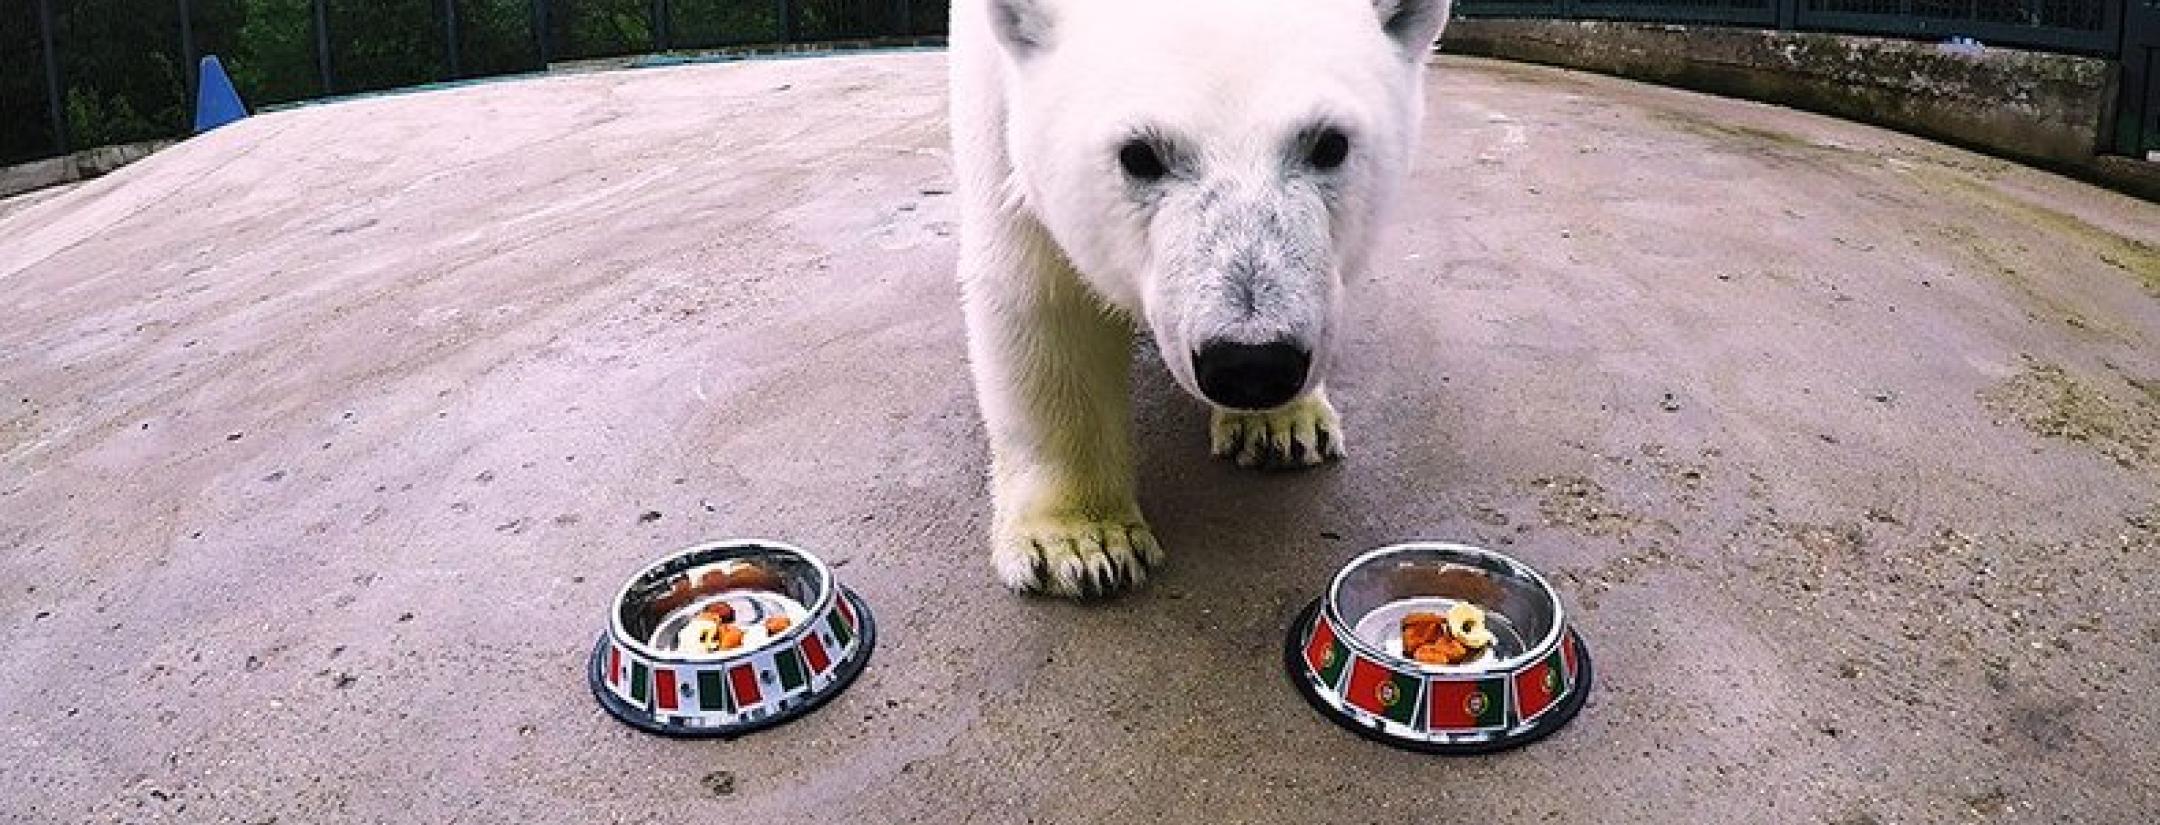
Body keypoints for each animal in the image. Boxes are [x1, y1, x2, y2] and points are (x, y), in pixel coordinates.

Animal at [949, 0, 1452, 597]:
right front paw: (1081, 542)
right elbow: (1041, 294)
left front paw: (1281, 426)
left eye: (1330, 144)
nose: (1253, 362)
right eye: (1139, 155)